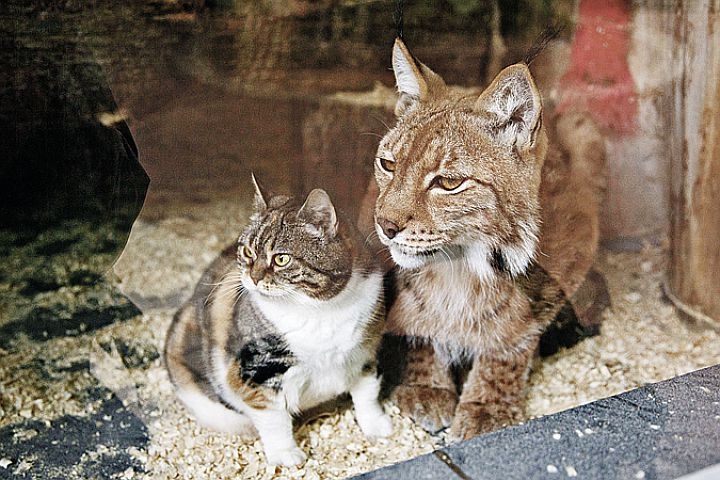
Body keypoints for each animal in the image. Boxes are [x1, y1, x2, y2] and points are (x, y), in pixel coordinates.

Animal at [164, 179, 390, 464]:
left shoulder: (365, 353)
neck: (321, 311)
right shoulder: (255, 374)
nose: (253, 277)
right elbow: (273, 418)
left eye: (282, 258)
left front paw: (377, 426)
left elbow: (368, 393)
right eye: (247, 251)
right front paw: (286, 455)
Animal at [372, 39, 608, 440]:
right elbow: (417, 318)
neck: (459, 263)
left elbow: (515, 336)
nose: (385, 225)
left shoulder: (569, 252)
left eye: (449, 183)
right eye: (388, 165)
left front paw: (487, 406)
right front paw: (425, 385)